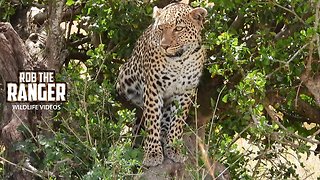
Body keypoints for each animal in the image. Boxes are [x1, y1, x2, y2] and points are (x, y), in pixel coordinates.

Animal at [115, 2, 208, 167]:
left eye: (178, 28)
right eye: (160, 28)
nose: (164, 45)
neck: (179, 60)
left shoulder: (186, 91)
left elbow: (177, 121)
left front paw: (174, 148)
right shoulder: (153, 88)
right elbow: (152, 121)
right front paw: (152, 153)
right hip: (125, 77)